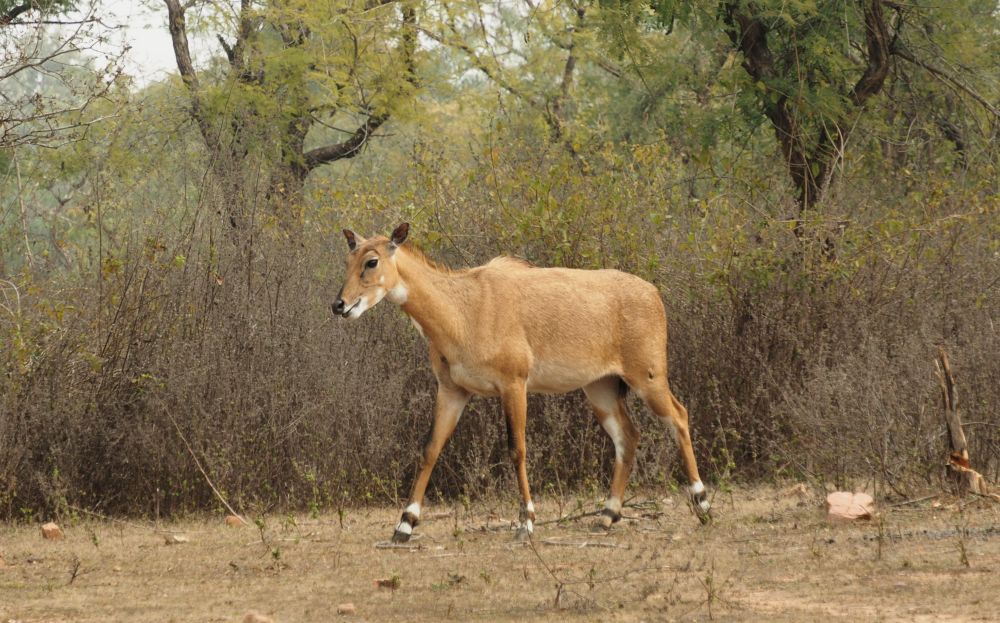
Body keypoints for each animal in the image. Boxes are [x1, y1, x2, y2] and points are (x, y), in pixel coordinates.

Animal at [336, 223, 712, 540]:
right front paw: (404, 524)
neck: (462, 309)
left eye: (372, 261)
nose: (339, 305)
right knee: (628, 436)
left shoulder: (514, 384)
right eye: (348, 259)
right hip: (601, 387)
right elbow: (431, 448)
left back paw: (703, 504)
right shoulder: (453, 390)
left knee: (679, 416)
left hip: (649, 377)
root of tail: (654, 293)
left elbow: (517, 449)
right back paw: (607, 516)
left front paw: (526, 522)